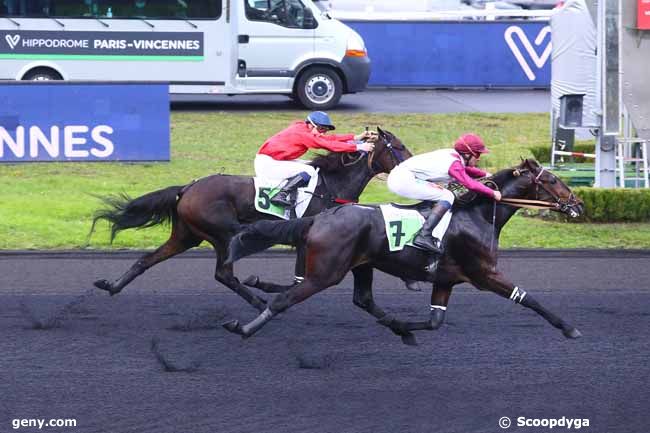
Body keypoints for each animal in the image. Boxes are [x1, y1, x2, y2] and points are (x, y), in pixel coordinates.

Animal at [88, 126, 410, 308]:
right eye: (399, 147)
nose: (412, 166)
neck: (331, 185)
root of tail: (187, 187)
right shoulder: (308, 239)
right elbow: (298, 279)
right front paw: (266, 288)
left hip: (186, 235)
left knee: (147, 260)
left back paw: (112, 286)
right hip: (224, 233)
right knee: (224, 273)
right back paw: (256, 301)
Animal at [221, 159, 584, 344]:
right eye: (553, 180)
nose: (578, 204)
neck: (478, 215)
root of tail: (320, 217)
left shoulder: (446, 280)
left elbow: (435, 320)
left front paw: (404, 328)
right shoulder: (485, 273)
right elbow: (528, 298)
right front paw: (569, 327)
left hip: (360, 265)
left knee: (363, 299)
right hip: (326, 272)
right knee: (286, 299)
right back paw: (244, 328)